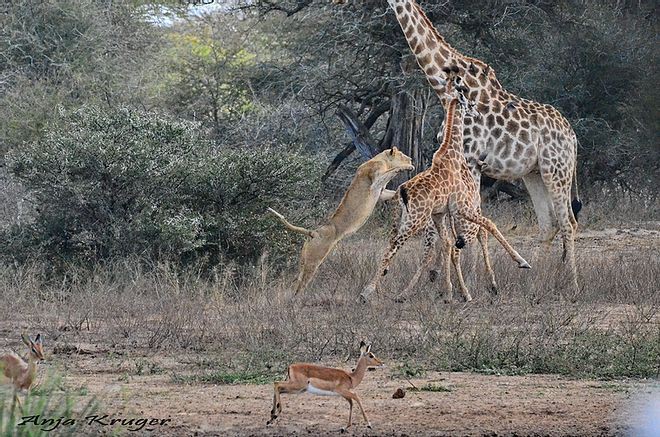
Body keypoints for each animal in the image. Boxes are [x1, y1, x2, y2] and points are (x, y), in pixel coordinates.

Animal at [360, 66, 532, 302]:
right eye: (470, 103)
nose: (477, 114)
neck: (453, 152)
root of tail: (401, 191)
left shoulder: (441, 213)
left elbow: (450, 243)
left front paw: (451, 291)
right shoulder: (461, 208)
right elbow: (489, 225)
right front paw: (521, 262)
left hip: (403, 219)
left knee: (394, 244)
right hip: (416, 219)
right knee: (396, 247)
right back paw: (367, 292)